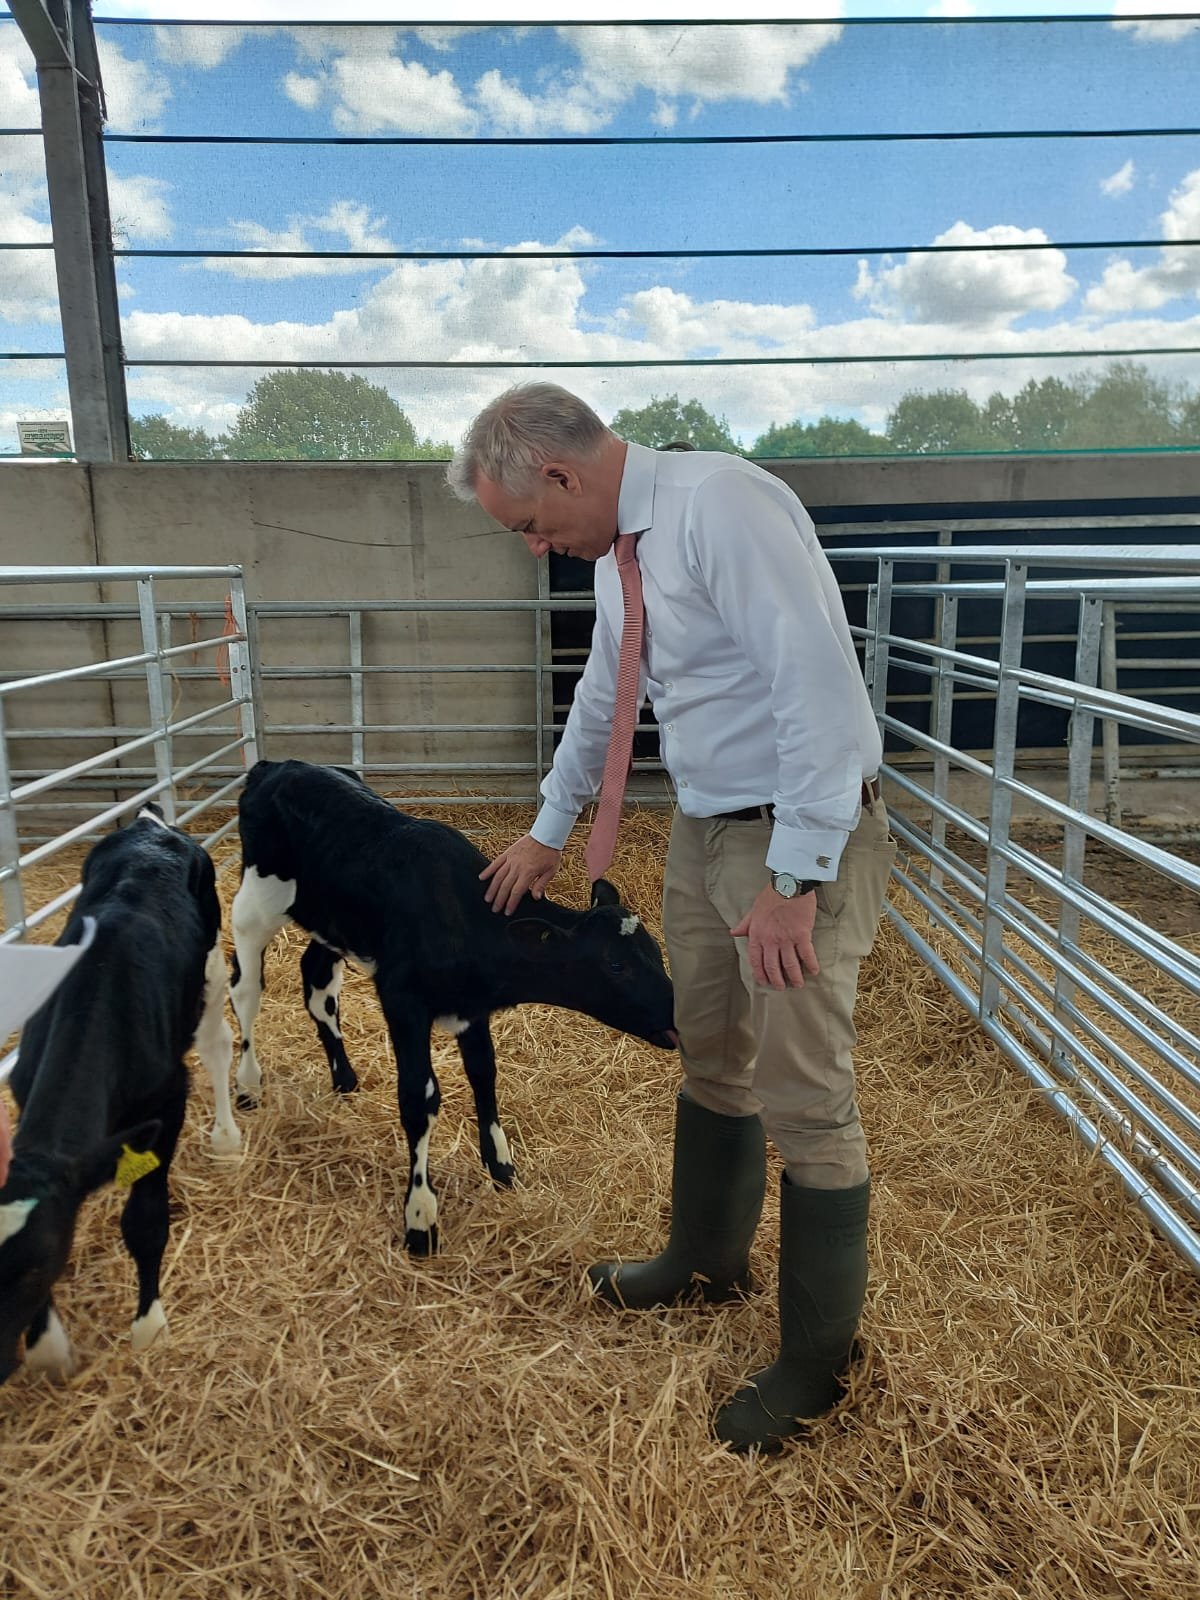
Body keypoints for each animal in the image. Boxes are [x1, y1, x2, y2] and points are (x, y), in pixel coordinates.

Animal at [0, 806, 240, 1382]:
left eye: (36, 1267)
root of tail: (151, 824)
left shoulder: (166, 1104)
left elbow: (145, 1221)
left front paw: (149, 1327)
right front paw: (49, 1349)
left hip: (211, 962)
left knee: (217, 1043)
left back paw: (226, 1139)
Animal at [227, 755, 678, 1254]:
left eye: (655, 952)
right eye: (616, 965)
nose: (676, 1013)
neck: (464, 917)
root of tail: (277, 765)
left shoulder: (471, 1009)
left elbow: (484, 1073)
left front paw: (501, 1166)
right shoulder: (403, 1000)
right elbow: (419, 1097)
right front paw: (420, 1218)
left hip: (332, 923)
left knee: (317, 980)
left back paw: (343, 1077)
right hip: (255, 905)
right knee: (244, 988)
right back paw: (247, 1086)